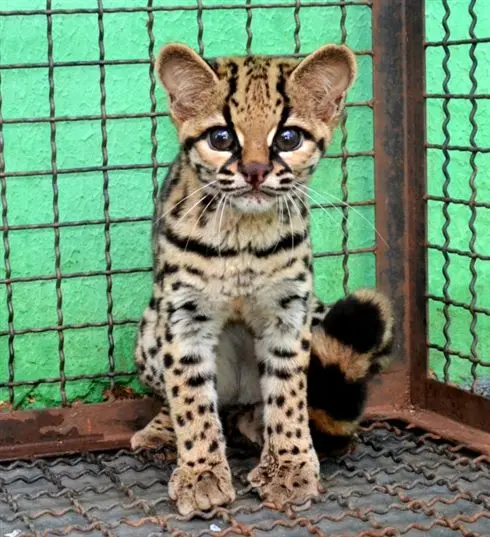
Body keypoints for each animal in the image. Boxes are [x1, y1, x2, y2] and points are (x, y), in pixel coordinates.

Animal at [131, 44, 394, 512]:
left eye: (288, 138)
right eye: (221, 138)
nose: (254, 171)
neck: (243, 237)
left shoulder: (289, 311)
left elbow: (287, 393)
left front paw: (290, 465)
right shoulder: (182, 314)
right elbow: (190, 398)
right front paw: (201, 473)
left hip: (317, 313)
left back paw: (260, 423)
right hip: (150, 326)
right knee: (188, 399)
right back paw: (163, 431)